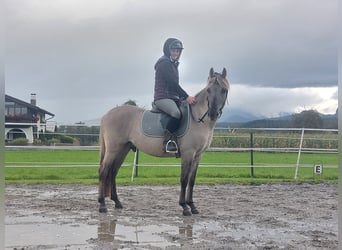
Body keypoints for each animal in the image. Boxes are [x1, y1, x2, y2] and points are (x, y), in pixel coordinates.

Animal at [97, 67, 230, 216]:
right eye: (208, 90)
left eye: (224, 90)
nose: (212, 113)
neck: (197, 119)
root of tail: (107, 115)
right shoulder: (188, 154)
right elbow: (184, 179)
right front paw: (184, 207)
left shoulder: (197, 155)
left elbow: (192, 180)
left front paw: (193, 206)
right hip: (113, 149)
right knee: (103, 172)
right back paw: (102, 205)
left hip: (123, 149)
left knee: (113, 172)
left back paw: (117, 202)